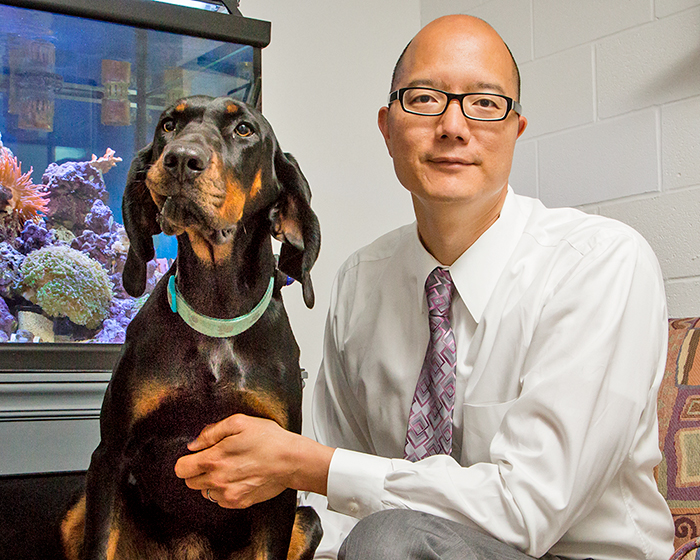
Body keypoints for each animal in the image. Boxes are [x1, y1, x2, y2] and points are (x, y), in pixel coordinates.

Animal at [60, 96, 322, 560]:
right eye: (168, 124)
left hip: (307, 520)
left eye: (244, 129)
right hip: (77, 508)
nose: (181, 159)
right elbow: (100, 541)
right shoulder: (109, 457)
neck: (215, 317)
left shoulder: (275, 472)